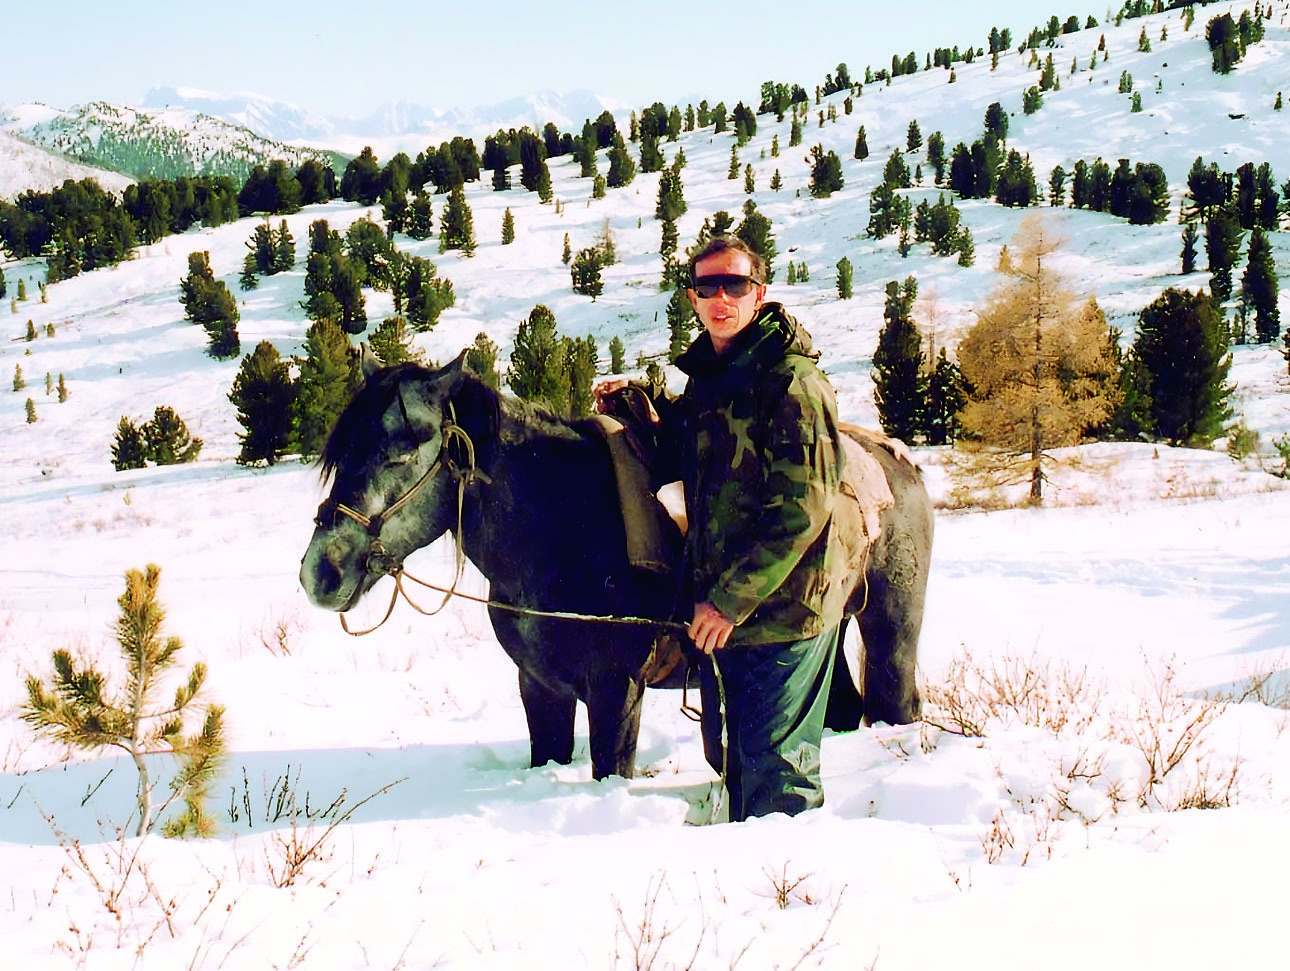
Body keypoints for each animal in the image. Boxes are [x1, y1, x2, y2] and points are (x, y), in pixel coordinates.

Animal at [297, 348, 933, 778]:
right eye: (343, 453)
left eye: (402, 451)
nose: (322, 573)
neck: (561, 531)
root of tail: (895, 461)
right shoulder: (540, 689)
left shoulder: (616, 692)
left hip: (890, 630)